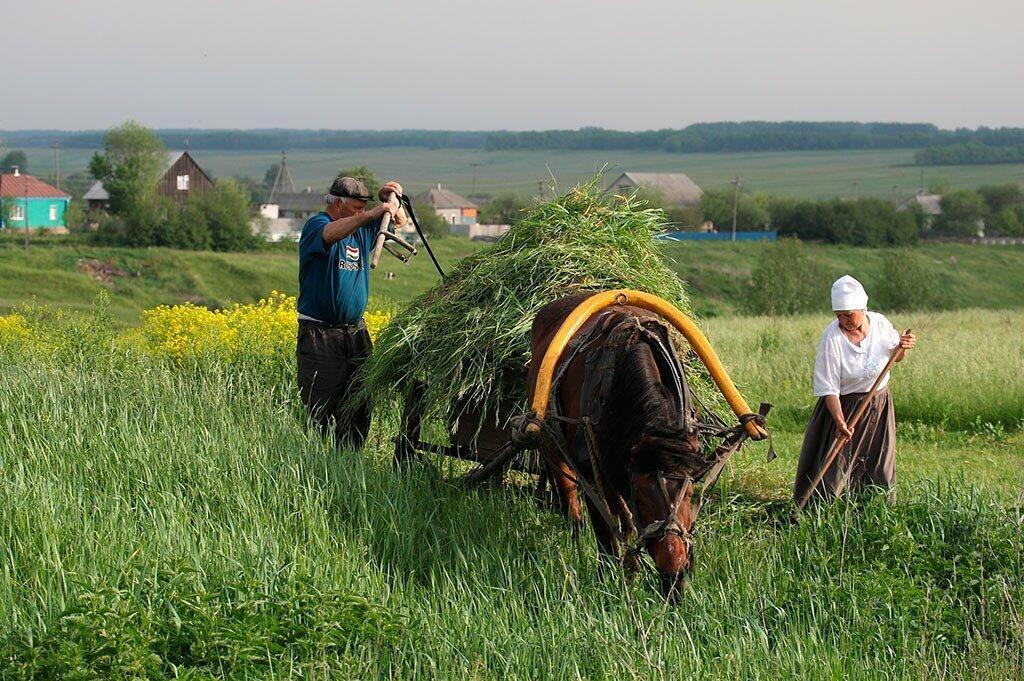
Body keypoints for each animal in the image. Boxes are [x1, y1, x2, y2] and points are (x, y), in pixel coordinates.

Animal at [524, 288, 708, 598]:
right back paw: (575, 541)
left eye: (690, 493)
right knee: (570, 499)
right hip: (549, 442)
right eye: (642, 497)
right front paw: (606, 582)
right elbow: (605, 529)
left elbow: (624, 521)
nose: (674, 579)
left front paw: (631, 570)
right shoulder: (591, 470)